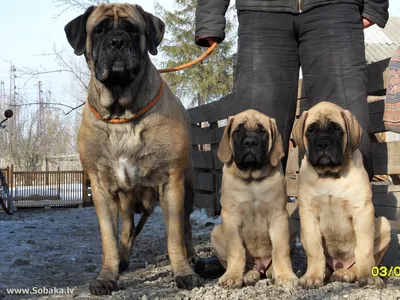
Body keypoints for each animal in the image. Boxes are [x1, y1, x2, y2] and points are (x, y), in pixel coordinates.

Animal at [66, 2, 203, 296]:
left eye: (132, 29)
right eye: (99, 30)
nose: (117, 41)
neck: (121, 114)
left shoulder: (171, 183)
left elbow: (175, 235)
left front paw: (184, 272)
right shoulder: (102, 189)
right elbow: (109, 237)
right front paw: (107, 276)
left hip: (188, 188)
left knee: (185, 227)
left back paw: (192, 257)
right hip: (126, 202)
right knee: (127, 231)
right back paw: (123, 260)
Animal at [211, 109, 298, 288]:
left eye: (262, 131)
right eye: (238, 130)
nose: (250, 142)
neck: (252, 179)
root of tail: (260, 266)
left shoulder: (279, 216)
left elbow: (280, 249)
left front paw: (285, 275)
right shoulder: (230, 218)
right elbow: (237, 250)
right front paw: (232, 276)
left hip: (291, 225)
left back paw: (271, 271)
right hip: (215, 233)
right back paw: (248, 273)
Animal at [292, 102, 392, 290]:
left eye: (337, 129)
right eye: (311, 130)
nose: (323, 143)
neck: (330, 175)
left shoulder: (362, 211)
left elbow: (364, 249)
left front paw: (368, 276)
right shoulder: (308, 215)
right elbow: (315, 250)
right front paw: (313, 276)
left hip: (384, 225)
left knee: (359, 262)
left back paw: (347, 273)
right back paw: (326, 272)